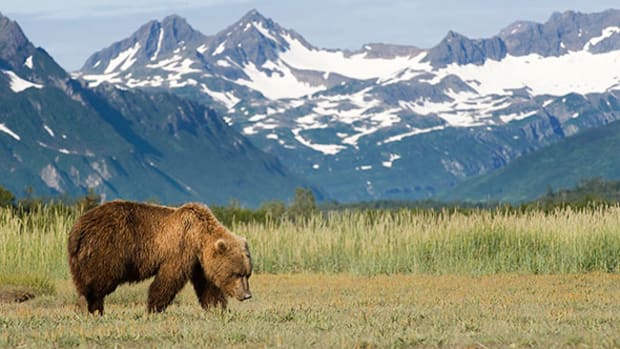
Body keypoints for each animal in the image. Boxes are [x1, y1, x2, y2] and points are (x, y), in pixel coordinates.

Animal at [68, 200, 252, 314]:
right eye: (237, 274)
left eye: (247, 274)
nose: (247, 295)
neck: (199, 238)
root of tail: (77, 228)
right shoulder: (180, 250)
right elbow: (168, 280)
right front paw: (153, 308)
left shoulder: (199, 263)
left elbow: (207, 286)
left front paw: (218, 308)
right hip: (107, 249)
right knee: (99, 280)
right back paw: (89, 305)